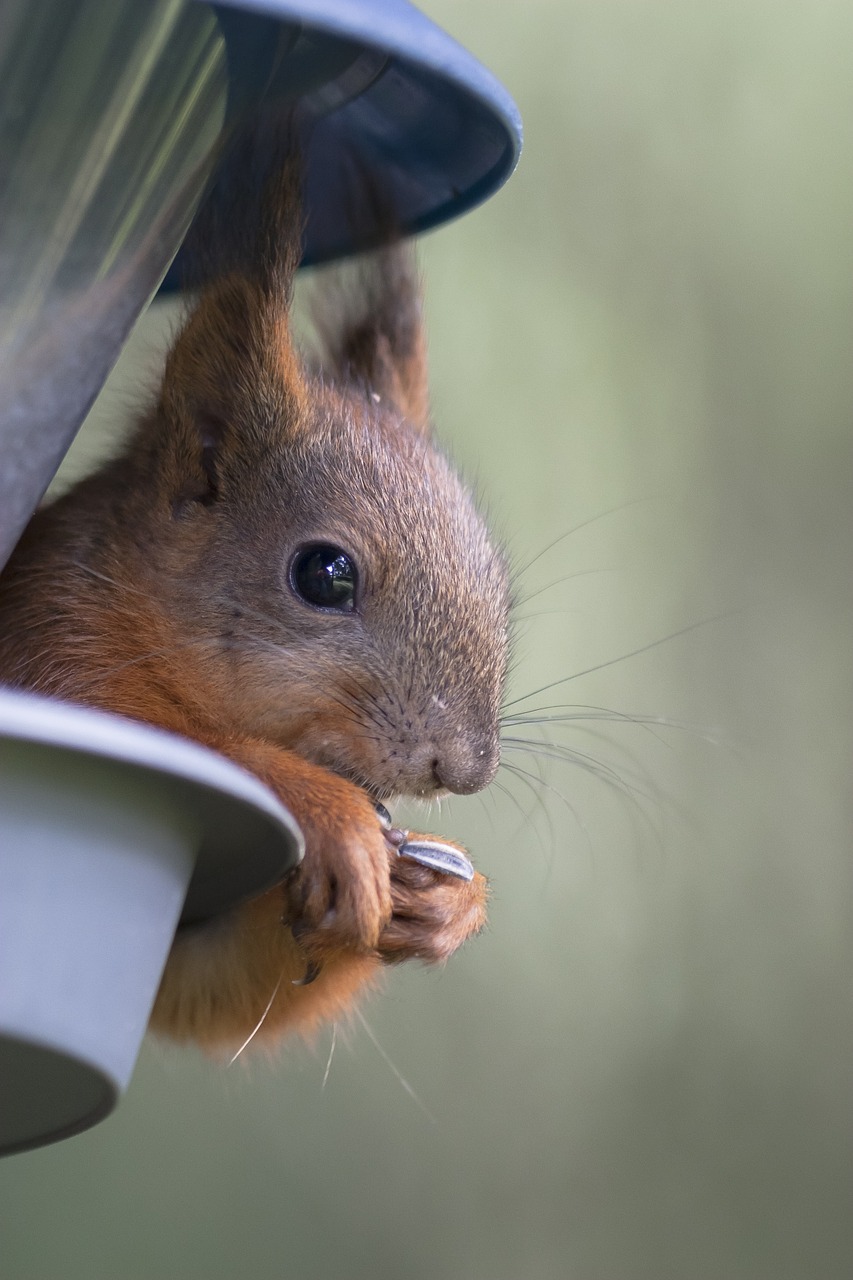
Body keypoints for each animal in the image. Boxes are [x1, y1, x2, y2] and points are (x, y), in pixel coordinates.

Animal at [0, 149, 507, 1049]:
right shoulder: (49, 635)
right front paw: (331, 812)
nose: (463, 768)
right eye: (324, 575)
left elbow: (215, 983)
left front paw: (450, 897)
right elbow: (183, 739)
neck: (135, 605)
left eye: (494, 571)